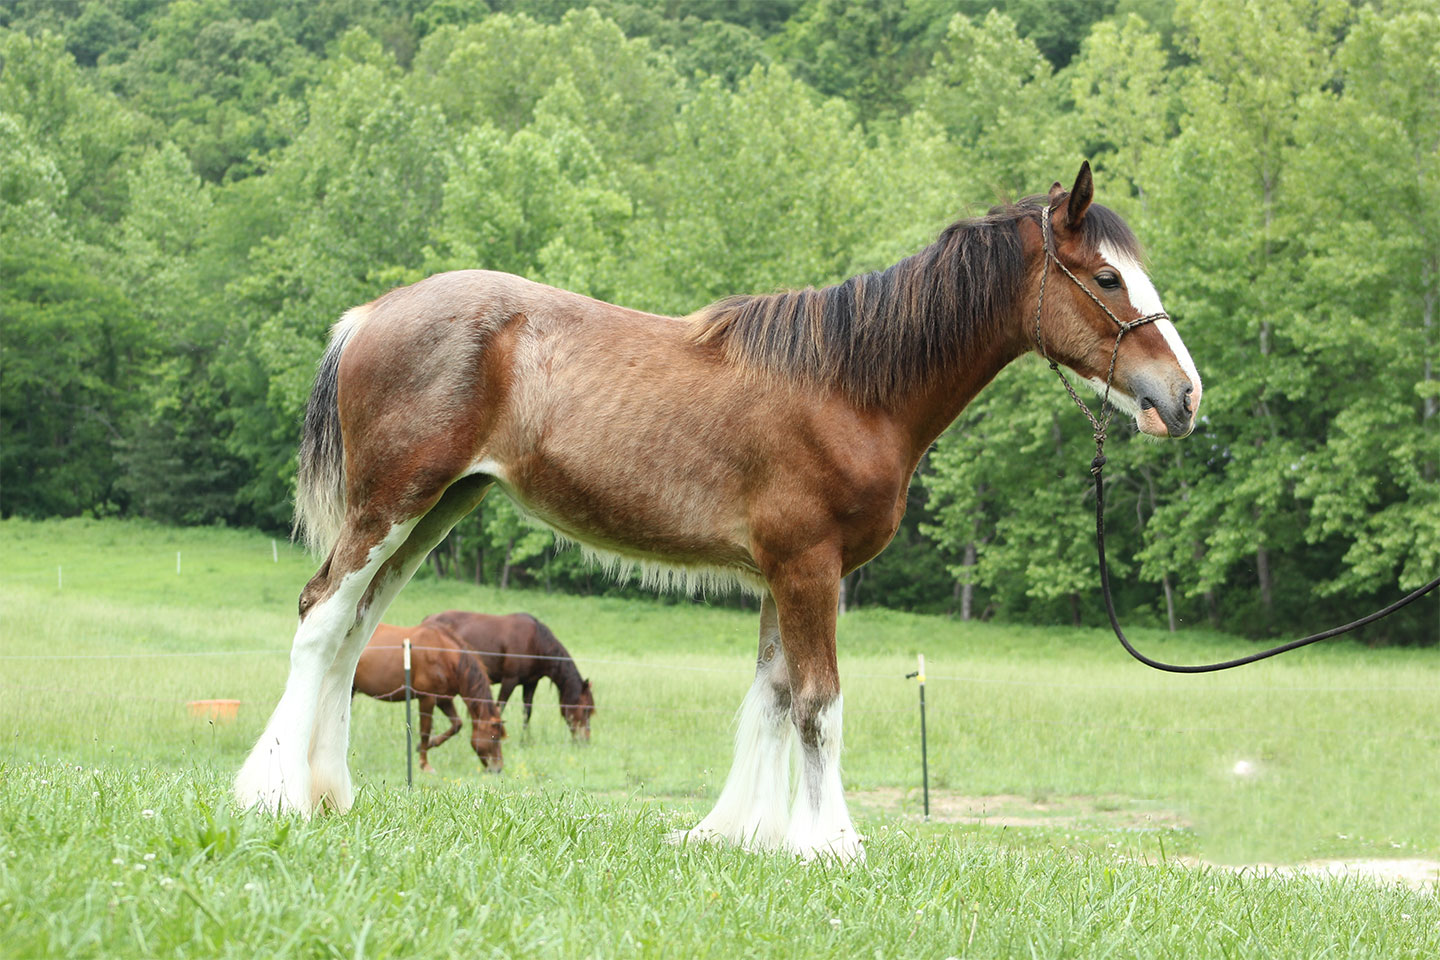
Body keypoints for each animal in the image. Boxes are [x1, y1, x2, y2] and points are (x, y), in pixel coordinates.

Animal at [350, 623, 506, 773]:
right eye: (494, 737)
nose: (497, 769)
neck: (444, 654)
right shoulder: (427, 699)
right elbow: (425, 731)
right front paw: (424, 764)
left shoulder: (444, 700)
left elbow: (456, 725)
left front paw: (426, 745)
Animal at [423, 610, 595, 741]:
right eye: (585, 709)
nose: (584, 740)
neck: (536, 643)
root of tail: (427, 619)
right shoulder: (510, 680)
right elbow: (500, 707)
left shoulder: (530, 683)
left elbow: (527, 712)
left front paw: (524, 740)